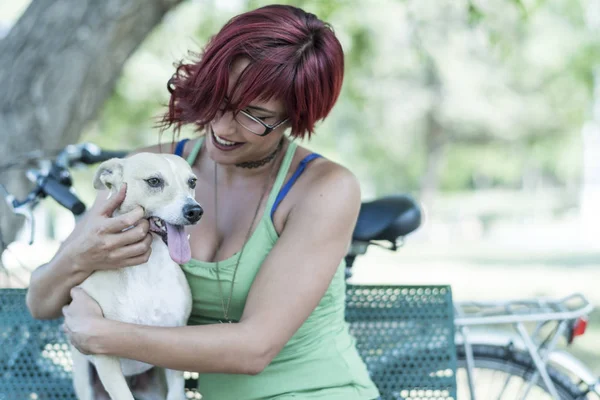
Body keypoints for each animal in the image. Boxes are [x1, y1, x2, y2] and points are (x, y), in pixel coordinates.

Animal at [70, 153, 202, 400]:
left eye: (192, 182)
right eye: (154, 181)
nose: (195, 211)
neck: (148, 270)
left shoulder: (176, 352)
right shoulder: (105, 357)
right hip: (86, 383)